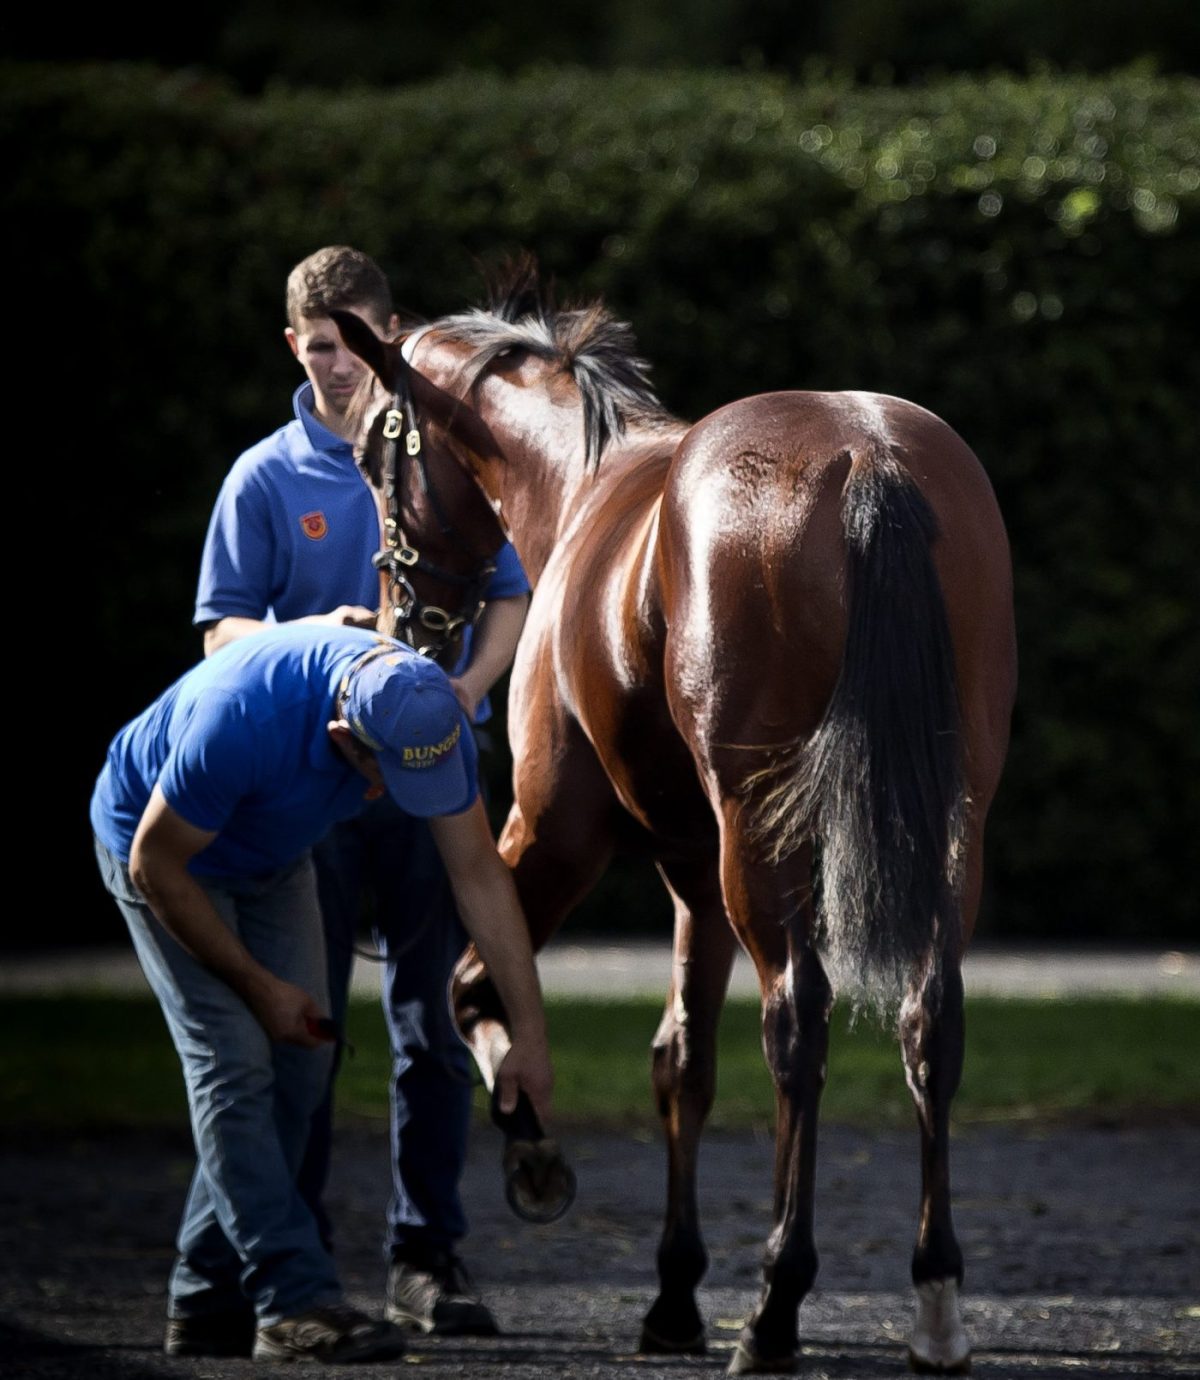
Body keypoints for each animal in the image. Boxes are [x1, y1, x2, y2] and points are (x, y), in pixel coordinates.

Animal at [332, 260, 1017, 1376]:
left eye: (368, 452)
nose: (401, 621)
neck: (586, 487)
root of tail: (867, 455)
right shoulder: (692, 870)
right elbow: (681, 1059)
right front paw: (672, 1291)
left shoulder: (558, 831)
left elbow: (478, 985)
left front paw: (534, 1147)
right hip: (947, 834)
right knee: (932, 1020)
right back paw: (936, 1300)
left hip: (752, 842)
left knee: (798, 1023)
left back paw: (777, 1305)